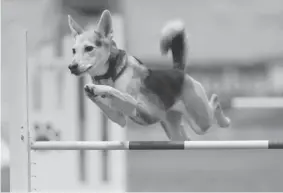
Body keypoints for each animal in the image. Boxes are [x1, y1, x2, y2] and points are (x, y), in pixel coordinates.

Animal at [68, 9, 231, 141]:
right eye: (73, 50)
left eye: (89, 48)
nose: (71, 67)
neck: (112, 73)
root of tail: (179, 71)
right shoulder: (119, 118)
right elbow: (106, 102)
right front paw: (91, 91)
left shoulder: (137, 105)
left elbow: (114, 90)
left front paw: (96, 88)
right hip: (174, 131)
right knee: (185, 136)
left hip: (201, 121)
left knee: (215, 100)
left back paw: (225, 121)